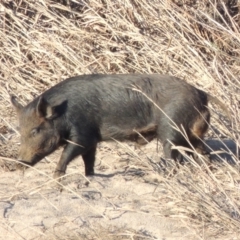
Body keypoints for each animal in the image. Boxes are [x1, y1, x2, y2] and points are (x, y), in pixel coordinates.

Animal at [10, 74, 226, 178]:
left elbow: (67, 155)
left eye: (35, 130)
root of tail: (201, 94)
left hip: (171, 129)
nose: (20, 162)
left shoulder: (82, 134)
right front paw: (90, 177)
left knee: (175, 158)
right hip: (193, 136)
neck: (63, 114)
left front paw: (56, 181)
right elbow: (89, 160)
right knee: (204, 154)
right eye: (20, 131)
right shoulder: (92, 140)